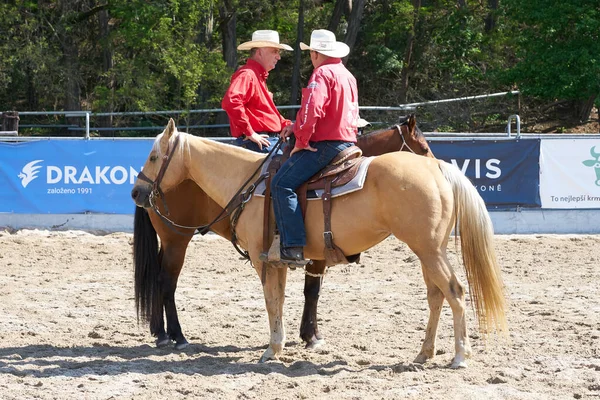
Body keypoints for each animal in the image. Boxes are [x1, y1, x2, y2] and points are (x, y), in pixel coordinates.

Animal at [131, 117, 506, 368]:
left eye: (153, 157)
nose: (136, 191)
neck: (248, 181)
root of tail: (439, 171)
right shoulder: (278, 258)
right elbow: (281, 299)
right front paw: (285, 342)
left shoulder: (265, 259)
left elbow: (275, 300)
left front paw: (277, 346)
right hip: (429, 251)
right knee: (437, 295)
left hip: (428, 250)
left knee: (452, 291)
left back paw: (458, 355)